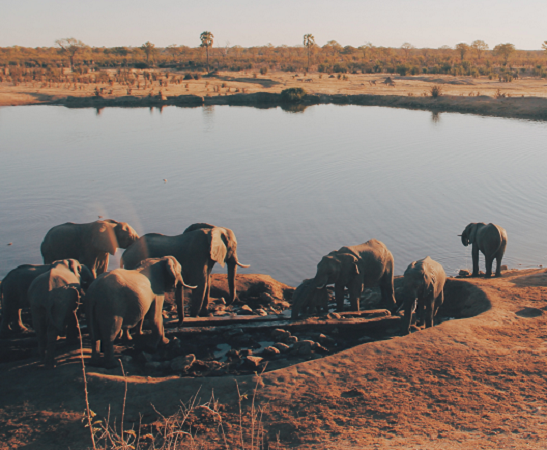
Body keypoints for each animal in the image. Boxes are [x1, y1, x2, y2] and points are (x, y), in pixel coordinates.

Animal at [122, 223, 250, 318]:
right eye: (233, 246)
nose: (225, 302)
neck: (214, 230)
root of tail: (125, 253)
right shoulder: (198, 253)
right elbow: (201, 282)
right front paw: (195, 316)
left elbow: (207, 282)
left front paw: (205, 315)